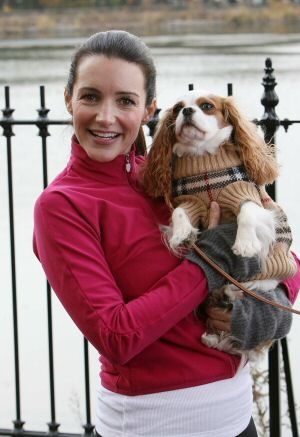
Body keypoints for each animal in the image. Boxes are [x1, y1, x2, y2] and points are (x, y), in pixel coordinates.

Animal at [144, 88, 298, 358]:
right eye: (178, 108)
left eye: (206, 106)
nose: (186, 111)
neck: (204, 158)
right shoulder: (190, 199)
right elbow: (180, 212)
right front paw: (181, 233)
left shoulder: (243, 191)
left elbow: (247, 211)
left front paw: (245, 245)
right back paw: (214, 335)